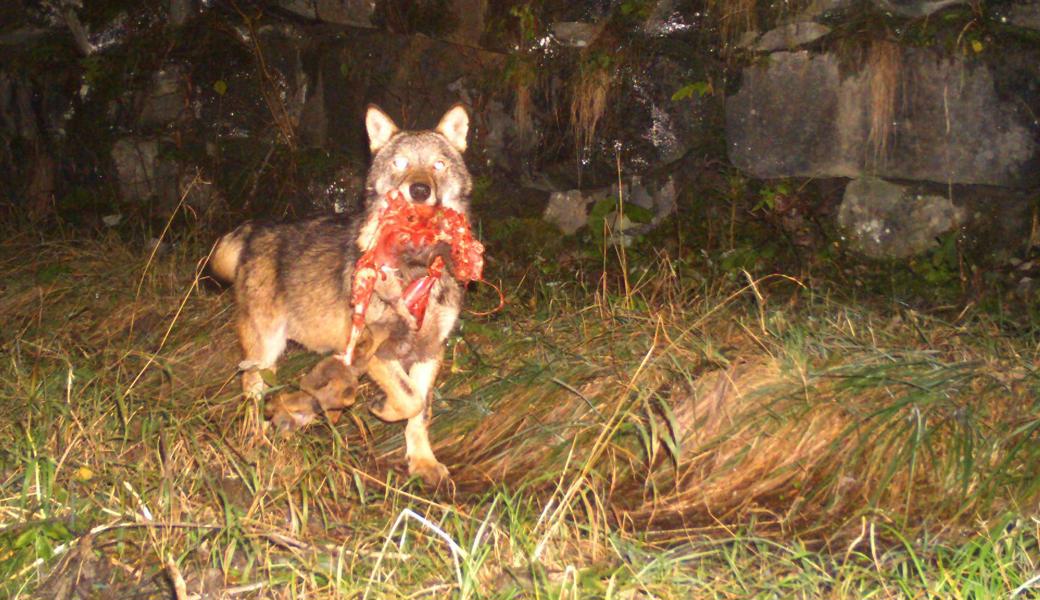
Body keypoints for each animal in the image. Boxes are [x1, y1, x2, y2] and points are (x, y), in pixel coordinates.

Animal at [211, 103, 472, 486]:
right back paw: (256, 442)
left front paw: (423, 463)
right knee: (250, 387)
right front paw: (383, 409)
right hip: (266, 347)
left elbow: (420, 411)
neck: (415, 265)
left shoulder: (429, 351)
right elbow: (409, 399)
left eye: (438, 164)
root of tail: (254, 229)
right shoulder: (375, 349)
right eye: (400, 163)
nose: (420, 189)